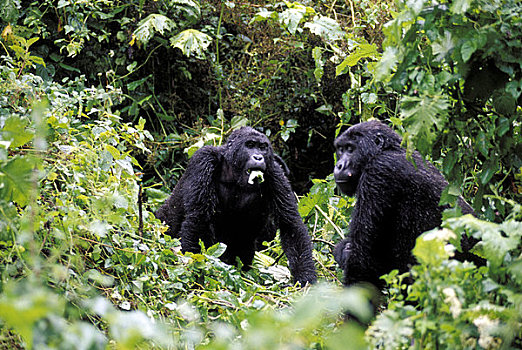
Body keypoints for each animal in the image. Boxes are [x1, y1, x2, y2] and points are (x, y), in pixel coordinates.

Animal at [154, 127, 314, 286]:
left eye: (262, 147)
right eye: (250, 145)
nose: (258, 157)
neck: (233, 170)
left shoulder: (274, 172)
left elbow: (290, 225)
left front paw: (305, 280)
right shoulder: (203, 159)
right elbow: (198, 218)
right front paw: (197, 272)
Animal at [332, 120, 482, 290]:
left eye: (350, 149)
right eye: (341, 149)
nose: (339, 165)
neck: (389, 149)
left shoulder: (378, 173)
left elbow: (361, 258)